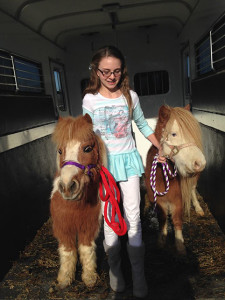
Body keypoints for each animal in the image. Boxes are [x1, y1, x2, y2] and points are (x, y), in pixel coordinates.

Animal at [50, 113, 106, 288]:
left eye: (87, 148)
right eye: (60, 150)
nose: (68, 187)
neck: (75, 206)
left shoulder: (88, 227)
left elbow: (86, 249)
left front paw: (89, 277)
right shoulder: (63, 227)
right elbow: (68, 251)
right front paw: (65, 278)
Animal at [145, 105, 207, 253]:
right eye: (174, 134)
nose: (200, 163)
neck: (162, 176)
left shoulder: (178, 200)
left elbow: (177, 219)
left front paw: (180, 246)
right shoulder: (159, 200)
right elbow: (162, 219)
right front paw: (161, 240)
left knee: (192, 190)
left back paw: (198, 208)